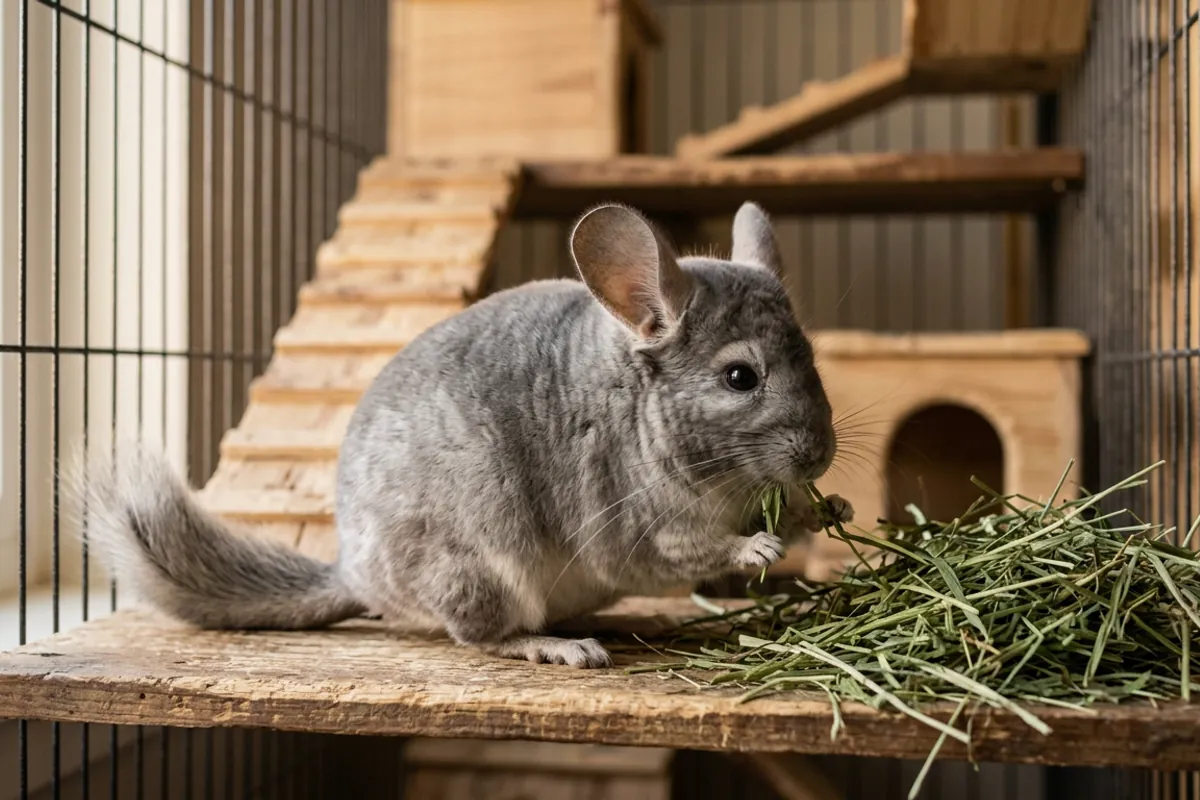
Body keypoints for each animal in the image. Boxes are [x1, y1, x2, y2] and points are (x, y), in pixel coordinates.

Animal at [75, 201, 853, 669]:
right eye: (740, 377)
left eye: (812, 357)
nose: (820, 454)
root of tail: (354, 573)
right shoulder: (634, 522)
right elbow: (691, 549)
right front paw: (757, 546)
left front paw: (829, 510)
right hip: (483, 563)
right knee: (482, 636)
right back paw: (561, 647)